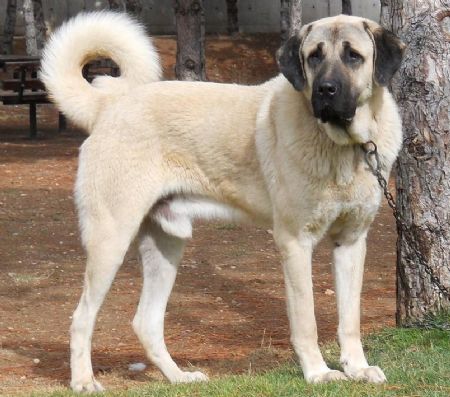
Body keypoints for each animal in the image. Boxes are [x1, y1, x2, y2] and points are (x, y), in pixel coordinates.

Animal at [39, 10, 404, 392]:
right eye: (314, 57)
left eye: (353, 56)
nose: (326, 90)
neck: (344, 147)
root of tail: (109, 105)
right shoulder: (294, 242)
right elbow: (306, 320)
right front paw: (318, 372)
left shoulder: (351, 243)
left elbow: (350, 319)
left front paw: (357, 368)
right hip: (110, 241)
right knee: (82, 317)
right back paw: (83, 381)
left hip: (166, 246)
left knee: (146, 322)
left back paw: (179, 377)